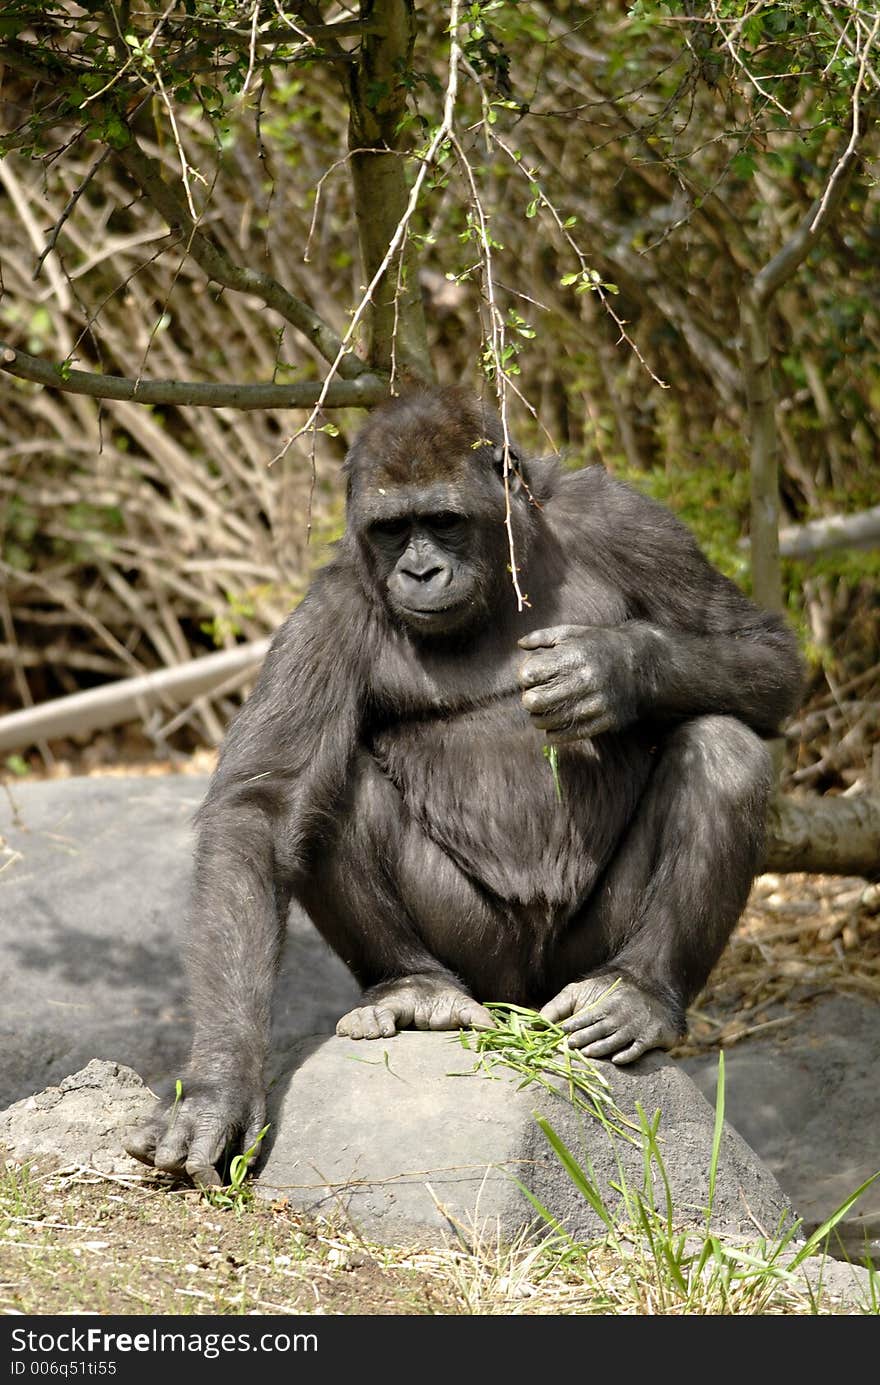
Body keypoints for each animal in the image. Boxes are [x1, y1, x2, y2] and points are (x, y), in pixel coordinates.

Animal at [125, 385, 803, 1185]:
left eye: (443, 520)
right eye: (393, 530)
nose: (419, 573)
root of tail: (520, 1003)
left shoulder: (629, 522)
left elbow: (768, 654)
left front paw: (613, 667)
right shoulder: (327, 613)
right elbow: (261, 809)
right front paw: (219, 1086)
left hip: (574, 963)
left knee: (725, 746)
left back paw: (638, 992)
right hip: (481, 962)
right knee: (332, 795)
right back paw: (415, 990)